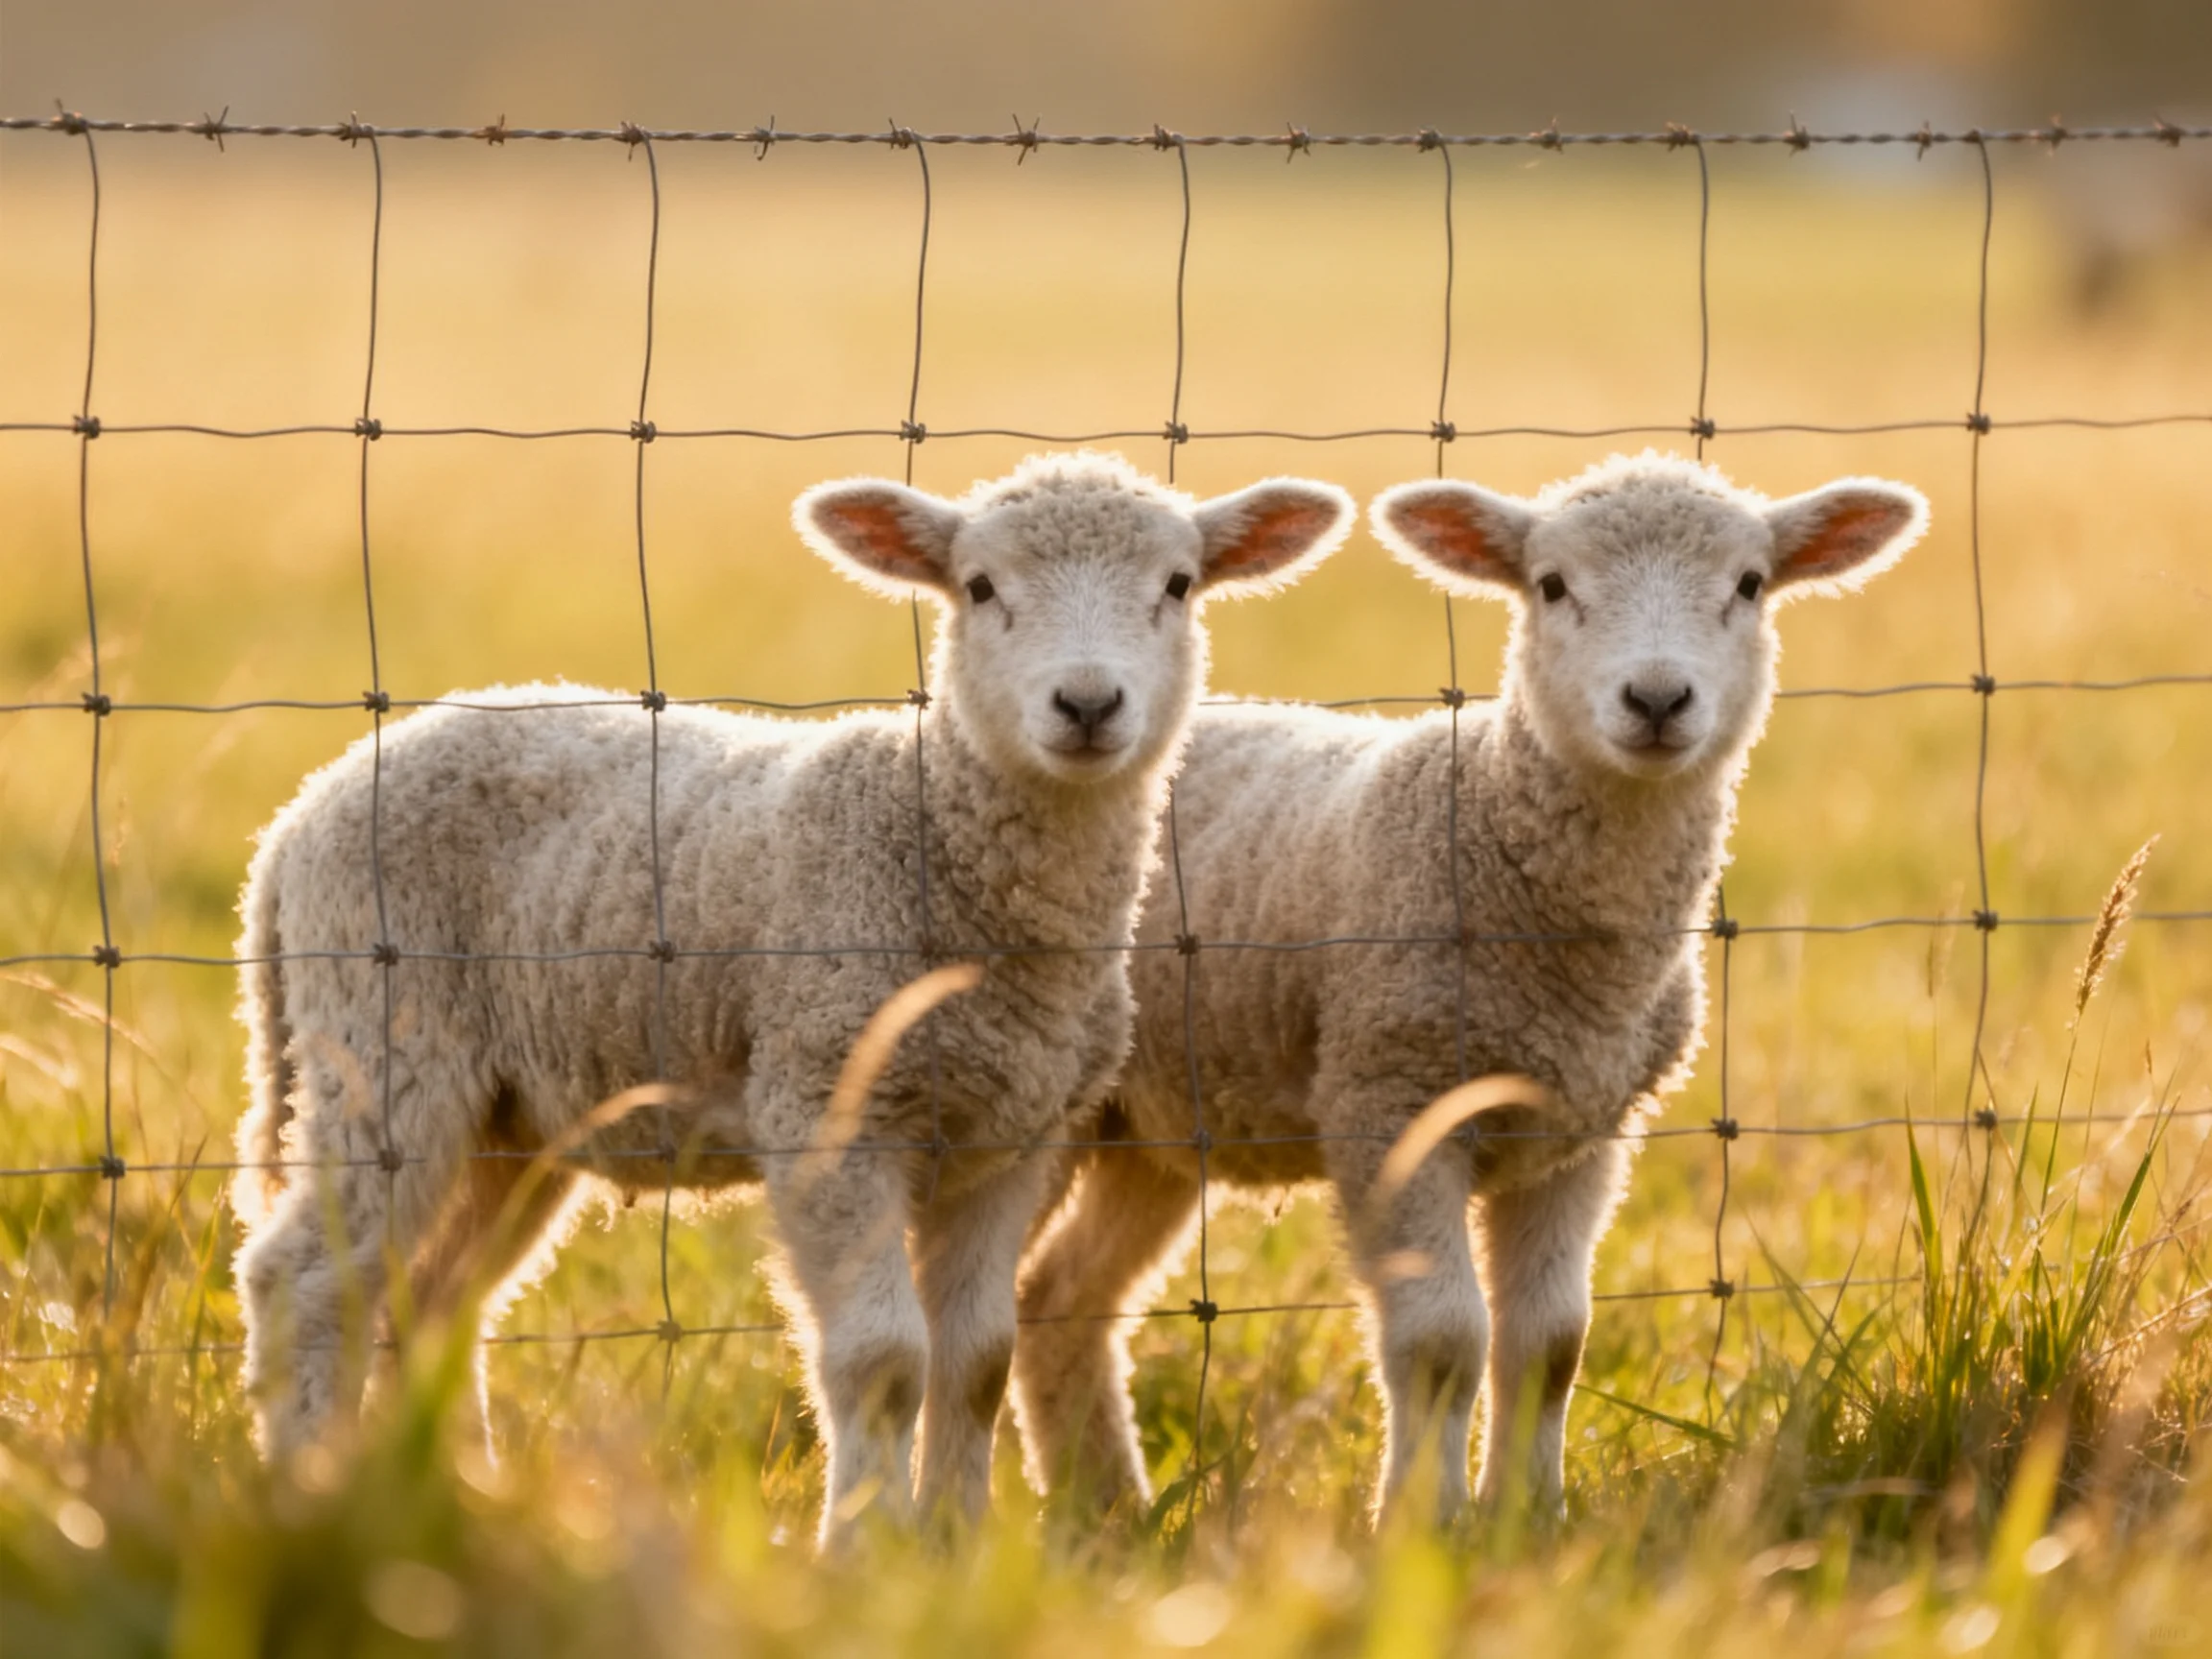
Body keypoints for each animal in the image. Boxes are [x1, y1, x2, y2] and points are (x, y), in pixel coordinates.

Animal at [229, 450, 1354, 1546]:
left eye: (1179, 585)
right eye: (980, 587)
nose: (1086, 706)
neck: (936, 838)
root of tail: (297, 820)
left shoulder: (1015, 1134)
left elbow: (977, 1360)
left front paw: (954, 1551)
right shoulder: (826, 1103)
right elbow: (884, 1359)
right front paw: (862, 1553)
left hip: (513, 1116)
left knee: (431, 1297)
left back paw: (448, 1495)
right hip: (383, 1040)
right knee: (307, 1280)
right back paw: (306, 1493)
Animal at [1012, 452, 1927, 1523]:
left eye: (1748, 585)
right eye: (1553, 585)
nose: (1658, 700)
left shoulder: (1585, 1130)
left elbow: (1551, 1341)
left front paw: (1529, 1520)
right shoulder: (1390, 1100)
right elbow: (1444, 1338)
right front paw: (1422, 1523)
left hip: (1145, 1121)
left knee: (1061, 1297)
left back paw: (1107, 1515)